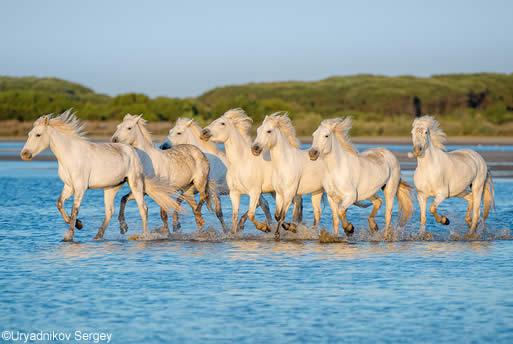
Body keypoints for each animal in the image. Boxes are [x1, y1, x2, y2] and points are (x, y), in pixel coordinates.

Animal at [21, 111, 181, 241]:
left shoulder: (80, 187)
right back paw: (99, 236)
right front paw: (79, 224)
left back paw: (144, 236)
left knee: (143, 208)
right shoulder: (69, 186)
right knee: (110, 211)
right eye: (28, 134)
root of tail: (134, 151)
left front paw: (69, 236)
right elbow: (59, 204)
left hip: (135, 183)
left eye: (38, 135)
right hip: (111, 187)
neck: (70, 155)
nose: (24, 154)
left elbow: (74, 209)